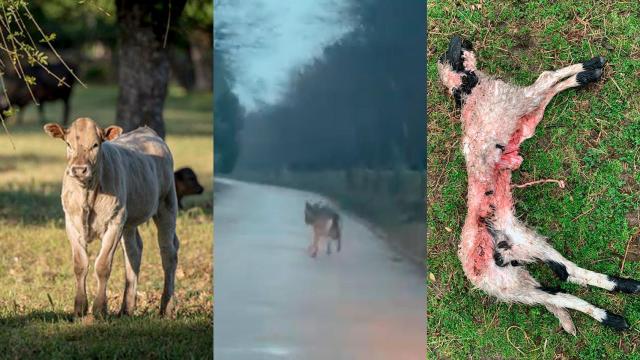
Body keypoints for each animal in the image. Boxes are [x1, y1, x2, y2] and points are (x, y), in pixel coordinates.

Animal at [44, 118, 180, 318]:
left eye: (95, 144)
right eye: (68, 144)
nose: (79, 169)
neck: (87, 193)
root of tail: (147, 131)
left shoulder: (114, 223)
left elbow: (102, 266)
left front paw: (99, 309)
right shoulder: (71, 223)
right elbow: (80, 265)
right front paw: (79, 308)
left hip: (167, 204)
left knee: (168, 252)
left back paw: (166, 308)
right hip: (130, 219)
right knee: (134, 252)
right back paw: (126, 309)